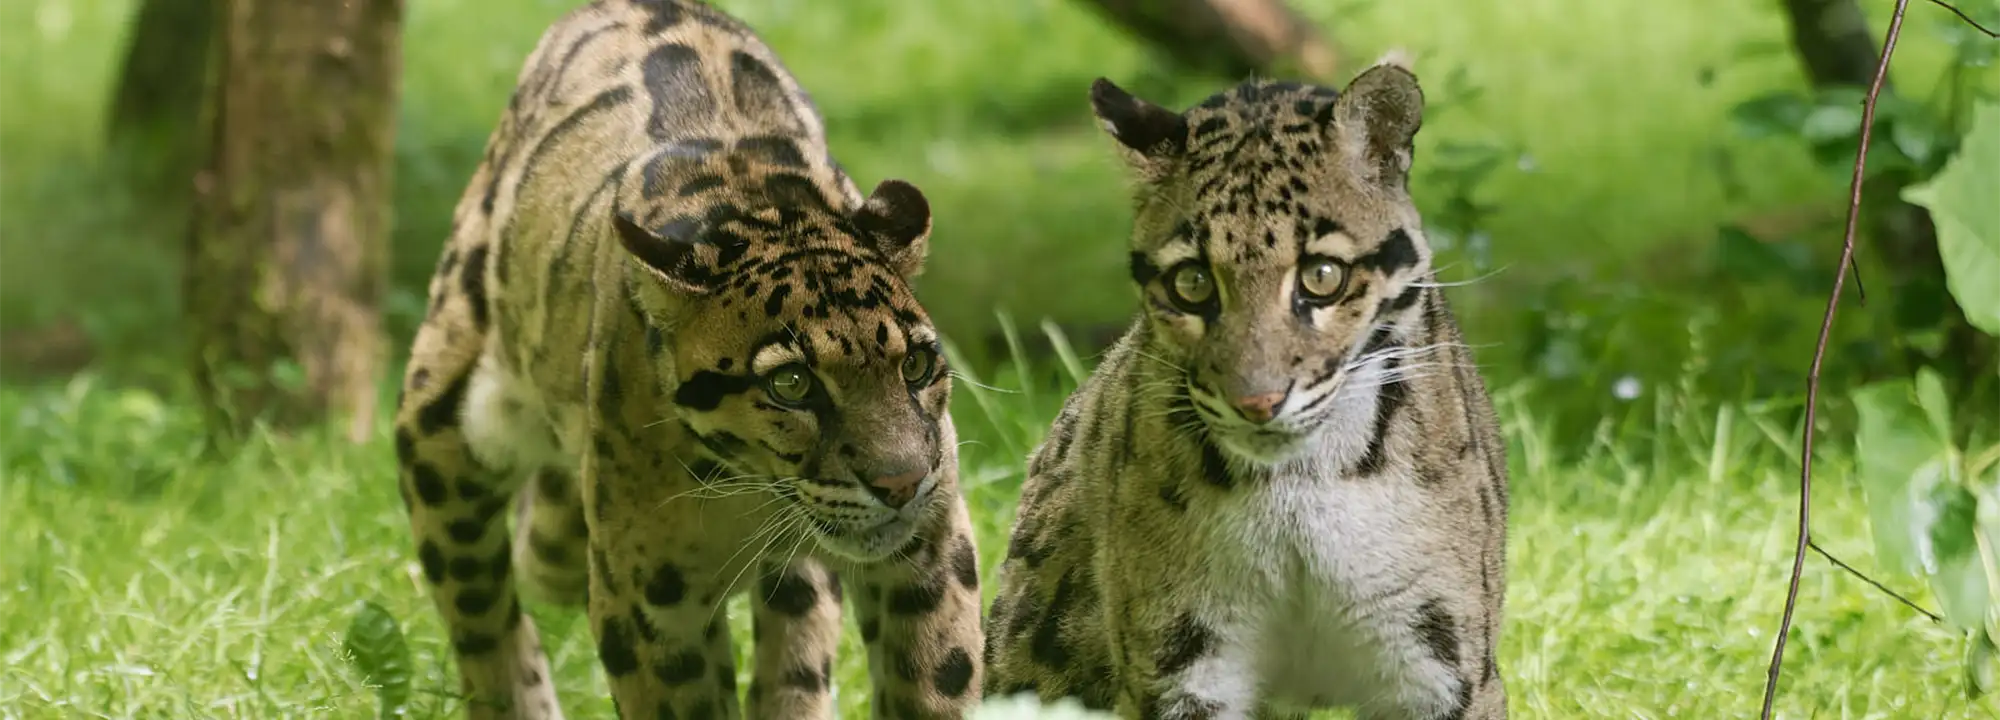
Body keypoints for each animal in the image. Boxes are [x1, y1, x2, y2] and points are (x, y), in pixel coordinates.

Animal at [390, 1, 984, 717]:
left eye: (916, 366)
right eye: (791, 383)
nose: (900, 483)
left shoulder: (929, 553)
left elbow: (938, 681)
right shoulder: (648, 601)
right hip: (444, 424)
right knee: (478, 606)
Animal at [980, 53, 1510, 720]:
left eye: (1322, 276)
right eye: (1192, 283)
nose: (1257, 402)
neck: (1298, 488)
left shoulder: (1442, 665)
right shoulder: (1177, 662)